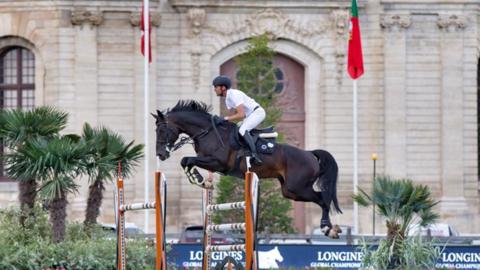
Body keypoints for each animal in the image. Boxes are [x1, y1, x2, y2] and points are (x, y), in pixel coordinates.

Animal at [152, 100, 344, 237]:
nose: (160, 154)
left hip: (297, 187)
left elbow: (186, 160)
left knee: (323, 199)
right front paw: (201, 181)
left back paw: (328, 229)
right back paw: (329, 228)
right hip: (290, 191)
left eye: (162, 130)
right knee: (319, 199)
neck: (207, 132)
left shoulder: (217, 162)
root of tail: (310, 154)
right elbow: (186, 161)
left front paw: (198, 179)